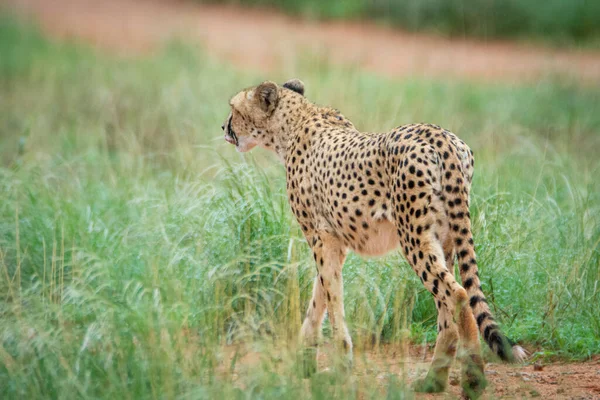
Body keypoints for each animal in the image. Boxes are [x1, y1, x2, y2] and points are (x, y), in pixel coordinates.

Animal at [220, 78, 524, 396]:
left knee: (458, 294)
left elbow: (332, 298)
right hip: (446, 239)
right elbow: (320, 296)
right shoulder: (335, 241)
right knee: (446, 309)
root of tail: (439, 134)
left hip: (413, 237)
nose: (224, 127)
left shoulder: (321, 237)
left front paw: (339, 366)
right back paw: (433, 380)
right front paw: (305, 360)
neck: (295, 121)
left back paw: (473, 378)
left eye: (234, 109)